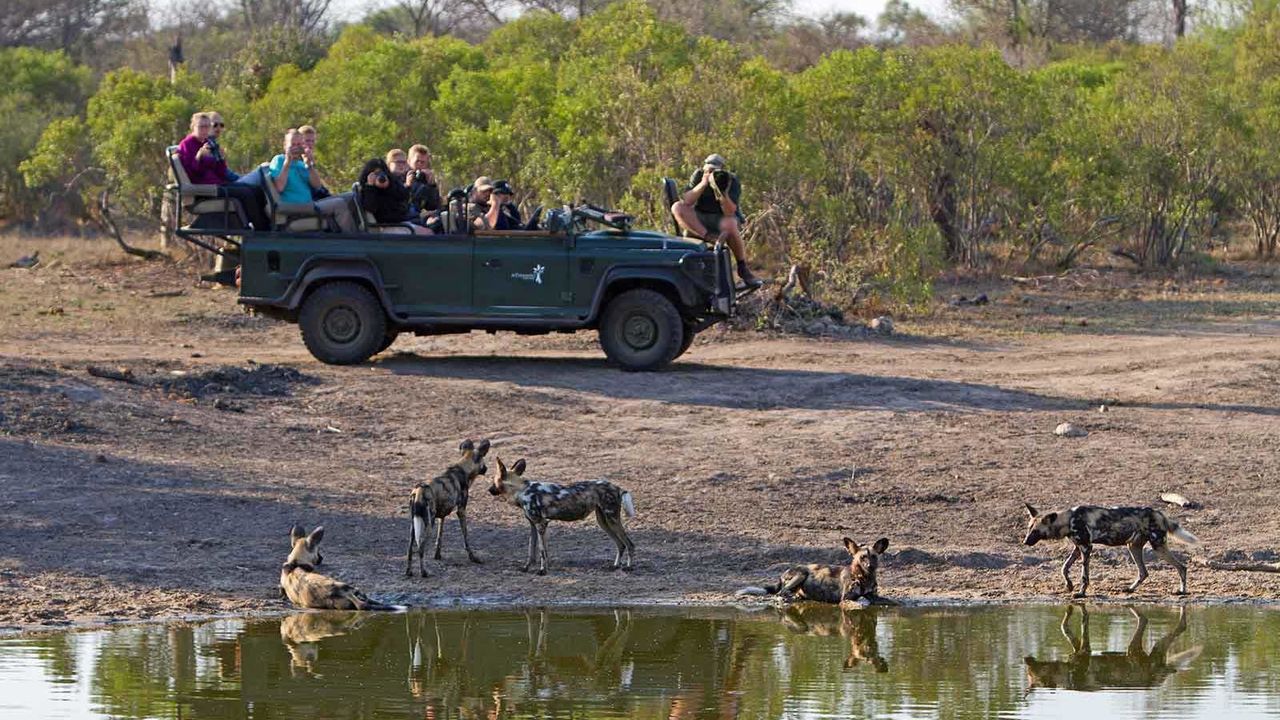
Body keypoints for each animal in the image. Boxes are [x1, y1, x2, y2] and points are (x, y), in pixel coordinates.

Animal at [407, 435, 491, 573]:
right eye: (483, 461)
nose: (486, 469)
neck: (463, 468)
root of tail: (419, 491)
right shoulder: (461, 510)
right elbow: (466, 537)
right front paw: (473, 557)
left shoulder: (442, 516)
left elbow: (439, 537)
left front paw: (437, 555)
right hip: (429, 524)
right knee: (421, 547)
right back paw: (424, 572)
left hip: (414, 525)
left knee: (409, 548)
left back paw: (408, 572)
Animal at [483, 458, 634, 571]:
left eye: (493, 482)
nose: (489, 490)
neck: (521, 489)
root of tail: (617, 487)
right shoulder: (533, 525)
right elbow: (532, 550)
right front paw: (527, 568)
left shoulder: (541, 524)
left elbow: (542, 550)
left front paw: (542, 570)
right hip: (603, 521)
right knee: (621, 545)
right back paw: (615, 566)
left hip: (612, 519)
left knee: (629, 544)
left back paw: (628, 567)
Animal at [737, 535, 896, 602]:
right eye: (862, 558)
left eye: (873, 557)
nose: (869, 566)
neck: (864, 577)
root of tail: (782, 574)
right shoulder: (847, 597)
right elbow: (863, 597)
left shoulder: (875, 594)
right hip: (801, 574)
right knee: (780, 592)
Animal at [1018, 499, 1198, 594]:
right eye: (1028, 529)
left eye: (1035, 531)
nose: (1025, 541)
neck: (1069, 520)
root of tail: (1159, 513)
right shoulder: (1078, 549)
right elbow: (1064, 567)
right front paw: (1069, 585)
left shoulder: (1086, 548)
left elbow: (1084, 576)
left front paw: (1081, 593)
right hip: (1133, 547)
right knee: (1144, 572)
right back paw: (1130, 589)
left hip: (1158, 547)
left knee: (1182, 567)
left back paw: (1182, 591)